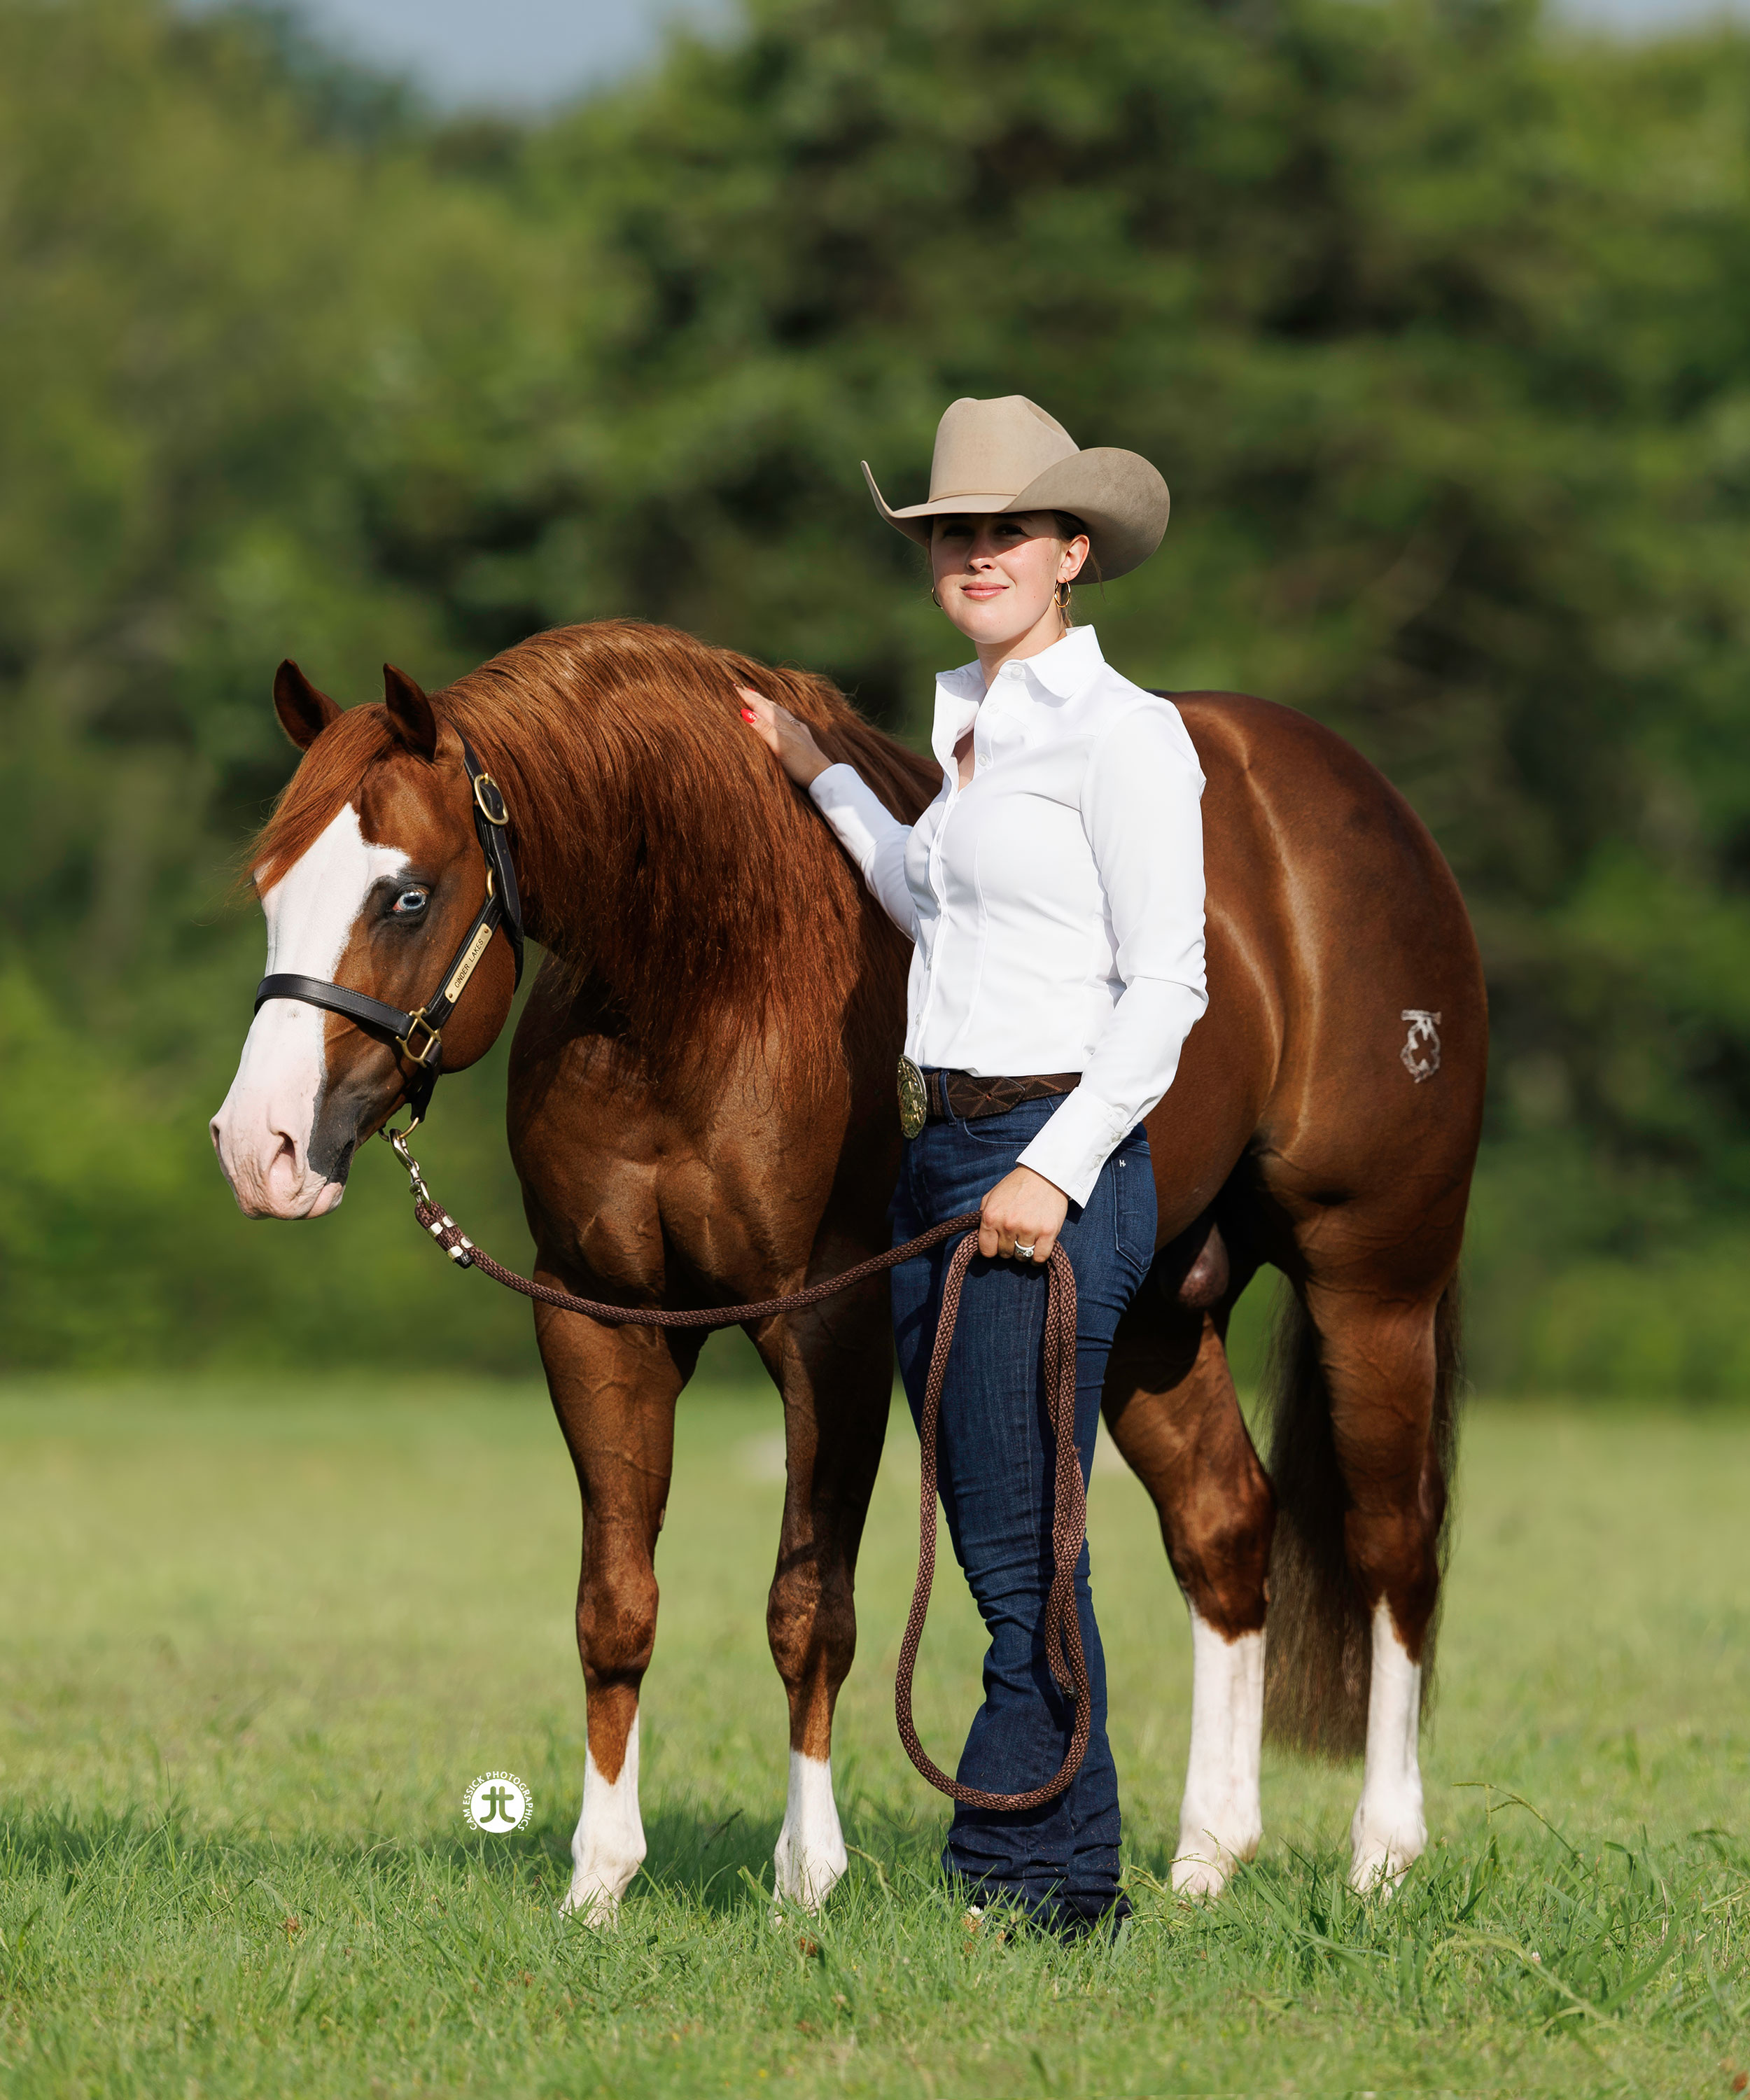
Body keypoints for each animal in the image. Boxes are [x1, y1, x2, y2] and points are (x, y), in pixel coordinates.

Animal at [211, 618, 1485, 1915]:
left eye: (407, 894)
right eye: (269, 887)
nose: (261, 1148)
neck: (709, 983)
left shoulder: (832, 1330)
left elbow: (808, 1606)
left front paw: (805, 1878)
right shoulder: (599, 1320)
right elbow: (615, 1606)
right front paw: (600, 1884)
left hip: (1374, 1285)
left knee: (1392, 1542)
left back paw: (1383, 1854)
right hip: (1149, 1317)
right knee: (1225, 1528)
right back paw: (1205, 1858)